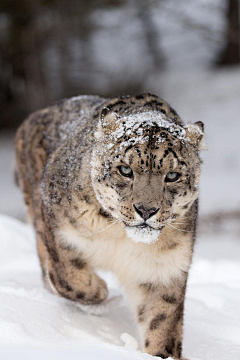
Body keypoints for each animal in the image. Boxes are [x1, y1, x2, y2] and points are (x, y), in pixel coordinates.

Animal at [14, 93, 204, 360]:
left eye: (173, 175)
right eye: (125, 170)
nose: (146, 210)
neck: (120, 236)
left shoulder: (163, 268)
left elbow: (161, 320)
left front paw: (160, 353)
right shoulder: (58, 227)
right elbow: (66, 274)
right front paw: (100, 292)